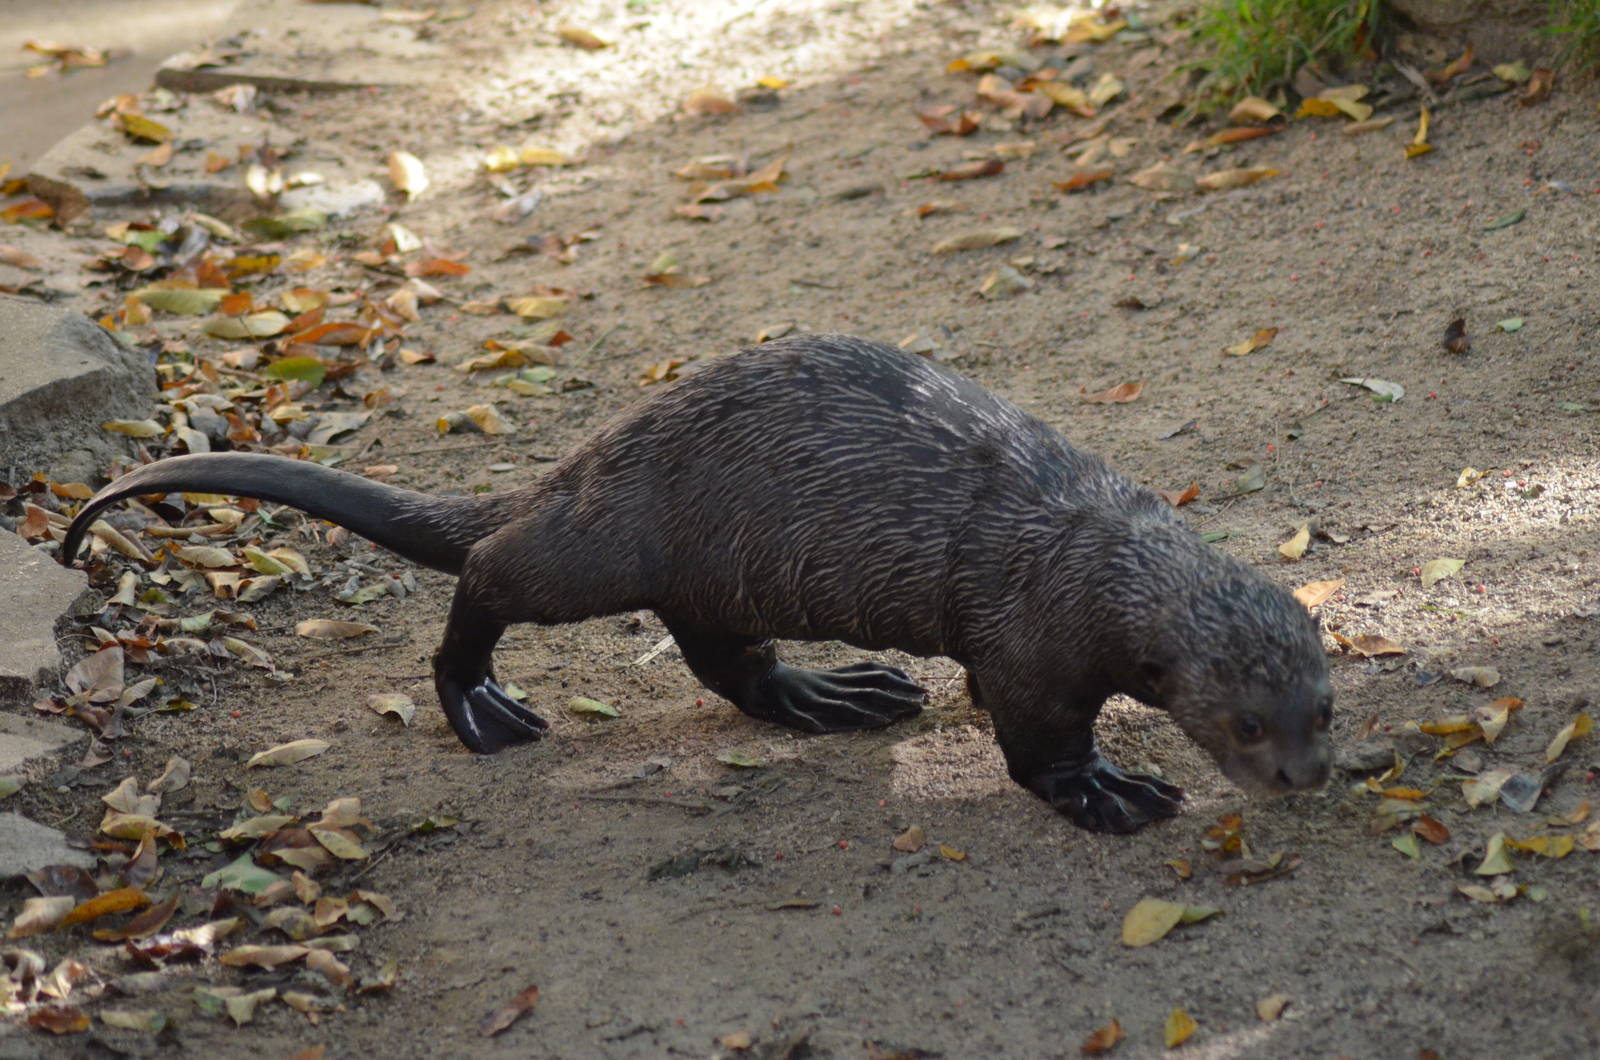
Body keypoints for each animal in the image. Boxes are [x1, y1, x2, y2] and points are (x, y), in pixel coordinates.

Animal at [61, 334, 1332, 833]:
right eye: (1244, 721)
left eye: (1323, 707)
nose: (1307, 775)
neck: (1086, 553)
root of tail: (599, 447)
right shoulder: (1028, 643)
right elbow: (1032, 743)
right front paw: (1109, 790)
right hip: (605, 543)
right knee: (492, 568)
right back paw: (478, 702)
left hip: (717, 577)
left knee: (726, 661)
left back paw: (836, 694)